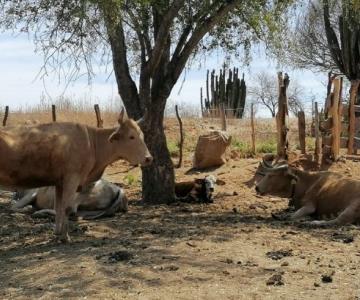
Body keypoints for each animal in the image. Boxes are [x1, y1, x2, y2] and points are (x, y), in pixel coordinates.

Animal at [0, 109, 152, 243]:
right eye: (131, 136)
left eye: (143, 136)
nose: (148, 158)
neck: (91, 142)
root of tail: (120, 190)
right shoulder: (71, 178)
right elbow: (66, 208)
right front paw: (65, 237)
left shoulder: (59, 182)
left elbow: (60, 207)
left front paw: (57, 233)